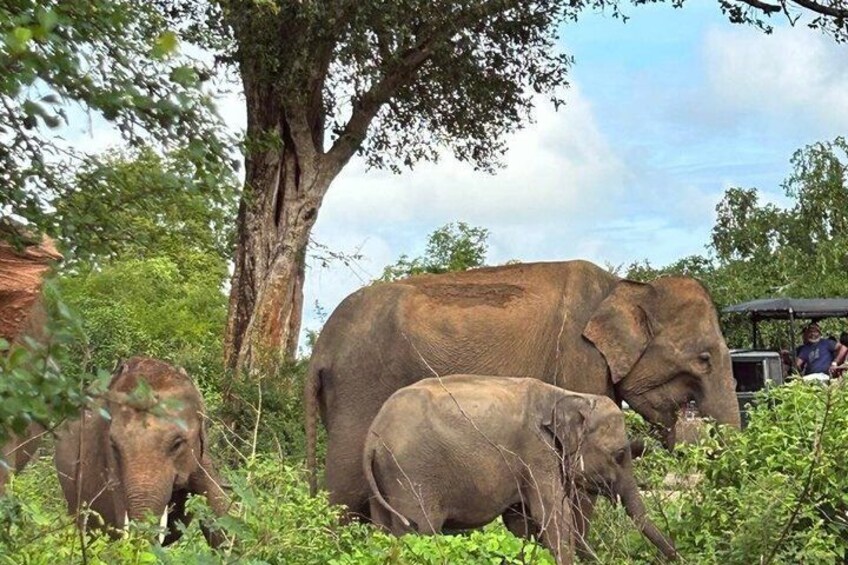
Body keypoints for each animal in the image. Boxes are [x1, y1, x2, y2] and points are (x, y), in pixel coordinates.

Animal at [305, 260, 740, 520]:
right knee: (346, 490)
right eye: (704, 358)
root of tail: (320, 349)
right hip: (360, 388)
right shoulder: (578, 357)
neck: (627, 287)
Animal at [363, 375, 678, 564]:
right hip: (412, 475)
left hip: (385, 479)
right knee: (418, 529)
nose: (678, 556)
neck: (567, 395)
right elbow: (553, 514)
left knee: (383, 531)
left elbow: (520, 522)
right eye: (620, 454)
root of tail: (372, 438)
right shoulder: (536, 452)